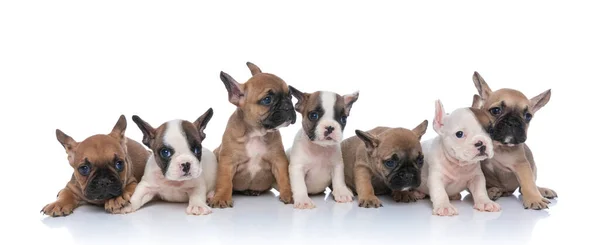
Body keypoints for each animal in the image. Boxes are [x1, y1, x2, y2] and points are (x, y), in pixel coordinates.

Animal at [210, 62, 296, 208]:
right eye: (267, 100)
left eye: (290, 96)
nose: (288, 105)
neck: (256, 134)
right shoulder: (227, 162)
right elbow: (224, 181)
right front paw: (221, 197)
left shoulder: (279, 161)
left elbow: (285, 178)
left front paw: (289, 194)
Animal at [472, 70, 556, 209]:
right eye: (495, 110)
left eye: (528, 116)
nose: (513, 122)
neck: (498, 146)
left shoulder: (522, 165)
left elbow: (528, 182)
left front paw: (534, 198)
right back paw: (493, 191)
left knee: (526, 186)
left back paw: (542, 191)